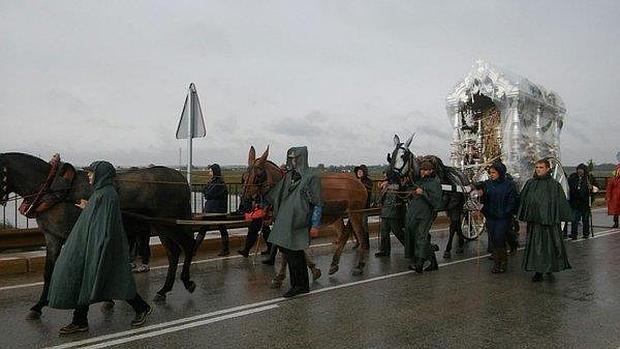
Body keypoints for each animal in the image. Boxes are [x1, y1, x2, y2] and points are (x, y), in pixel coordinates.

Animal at [0, 152, 199, 318]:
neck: (52, 191)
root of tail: (180, 178)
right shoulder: (52, 238)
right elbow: (48, 272)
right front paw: (39, 306)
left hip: (170, 224)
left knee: (188, 245)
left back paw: (187, 282)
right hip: (161, 227)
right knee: (174, 253)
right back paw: (164, 290)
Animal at [241, 146, 368, 274]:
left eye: (258, 176)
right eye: (245, 176)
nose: (244, 204)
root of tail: (360, 183)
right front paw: (312, 268)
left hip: (355, 214)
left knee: (361, 236)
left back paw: (360, 265)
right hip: (337, 216)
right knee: (344, 234)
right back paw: (334, 263)